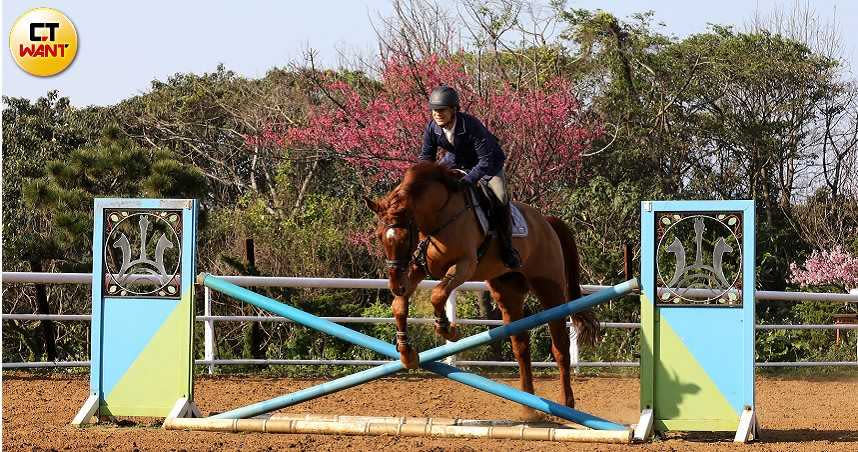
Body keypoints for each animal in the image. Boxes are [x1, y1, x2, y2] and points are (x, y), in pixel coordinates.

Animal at [362, 162, 596, 410]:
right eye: (379, 236)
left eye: (405, 237)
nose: (395, 285)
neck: (438, 217)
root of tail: (546, 222)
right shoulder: (417, 268)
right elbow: (399, 306)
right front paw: (407, 353)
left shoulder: (464, 265)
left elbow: (438, 294)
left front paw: (447, 329)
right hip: (508, 290)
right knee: (521, 346)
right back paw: (529, 406)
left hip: (549, 287)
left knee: (560, 346)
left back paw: (566, 402)